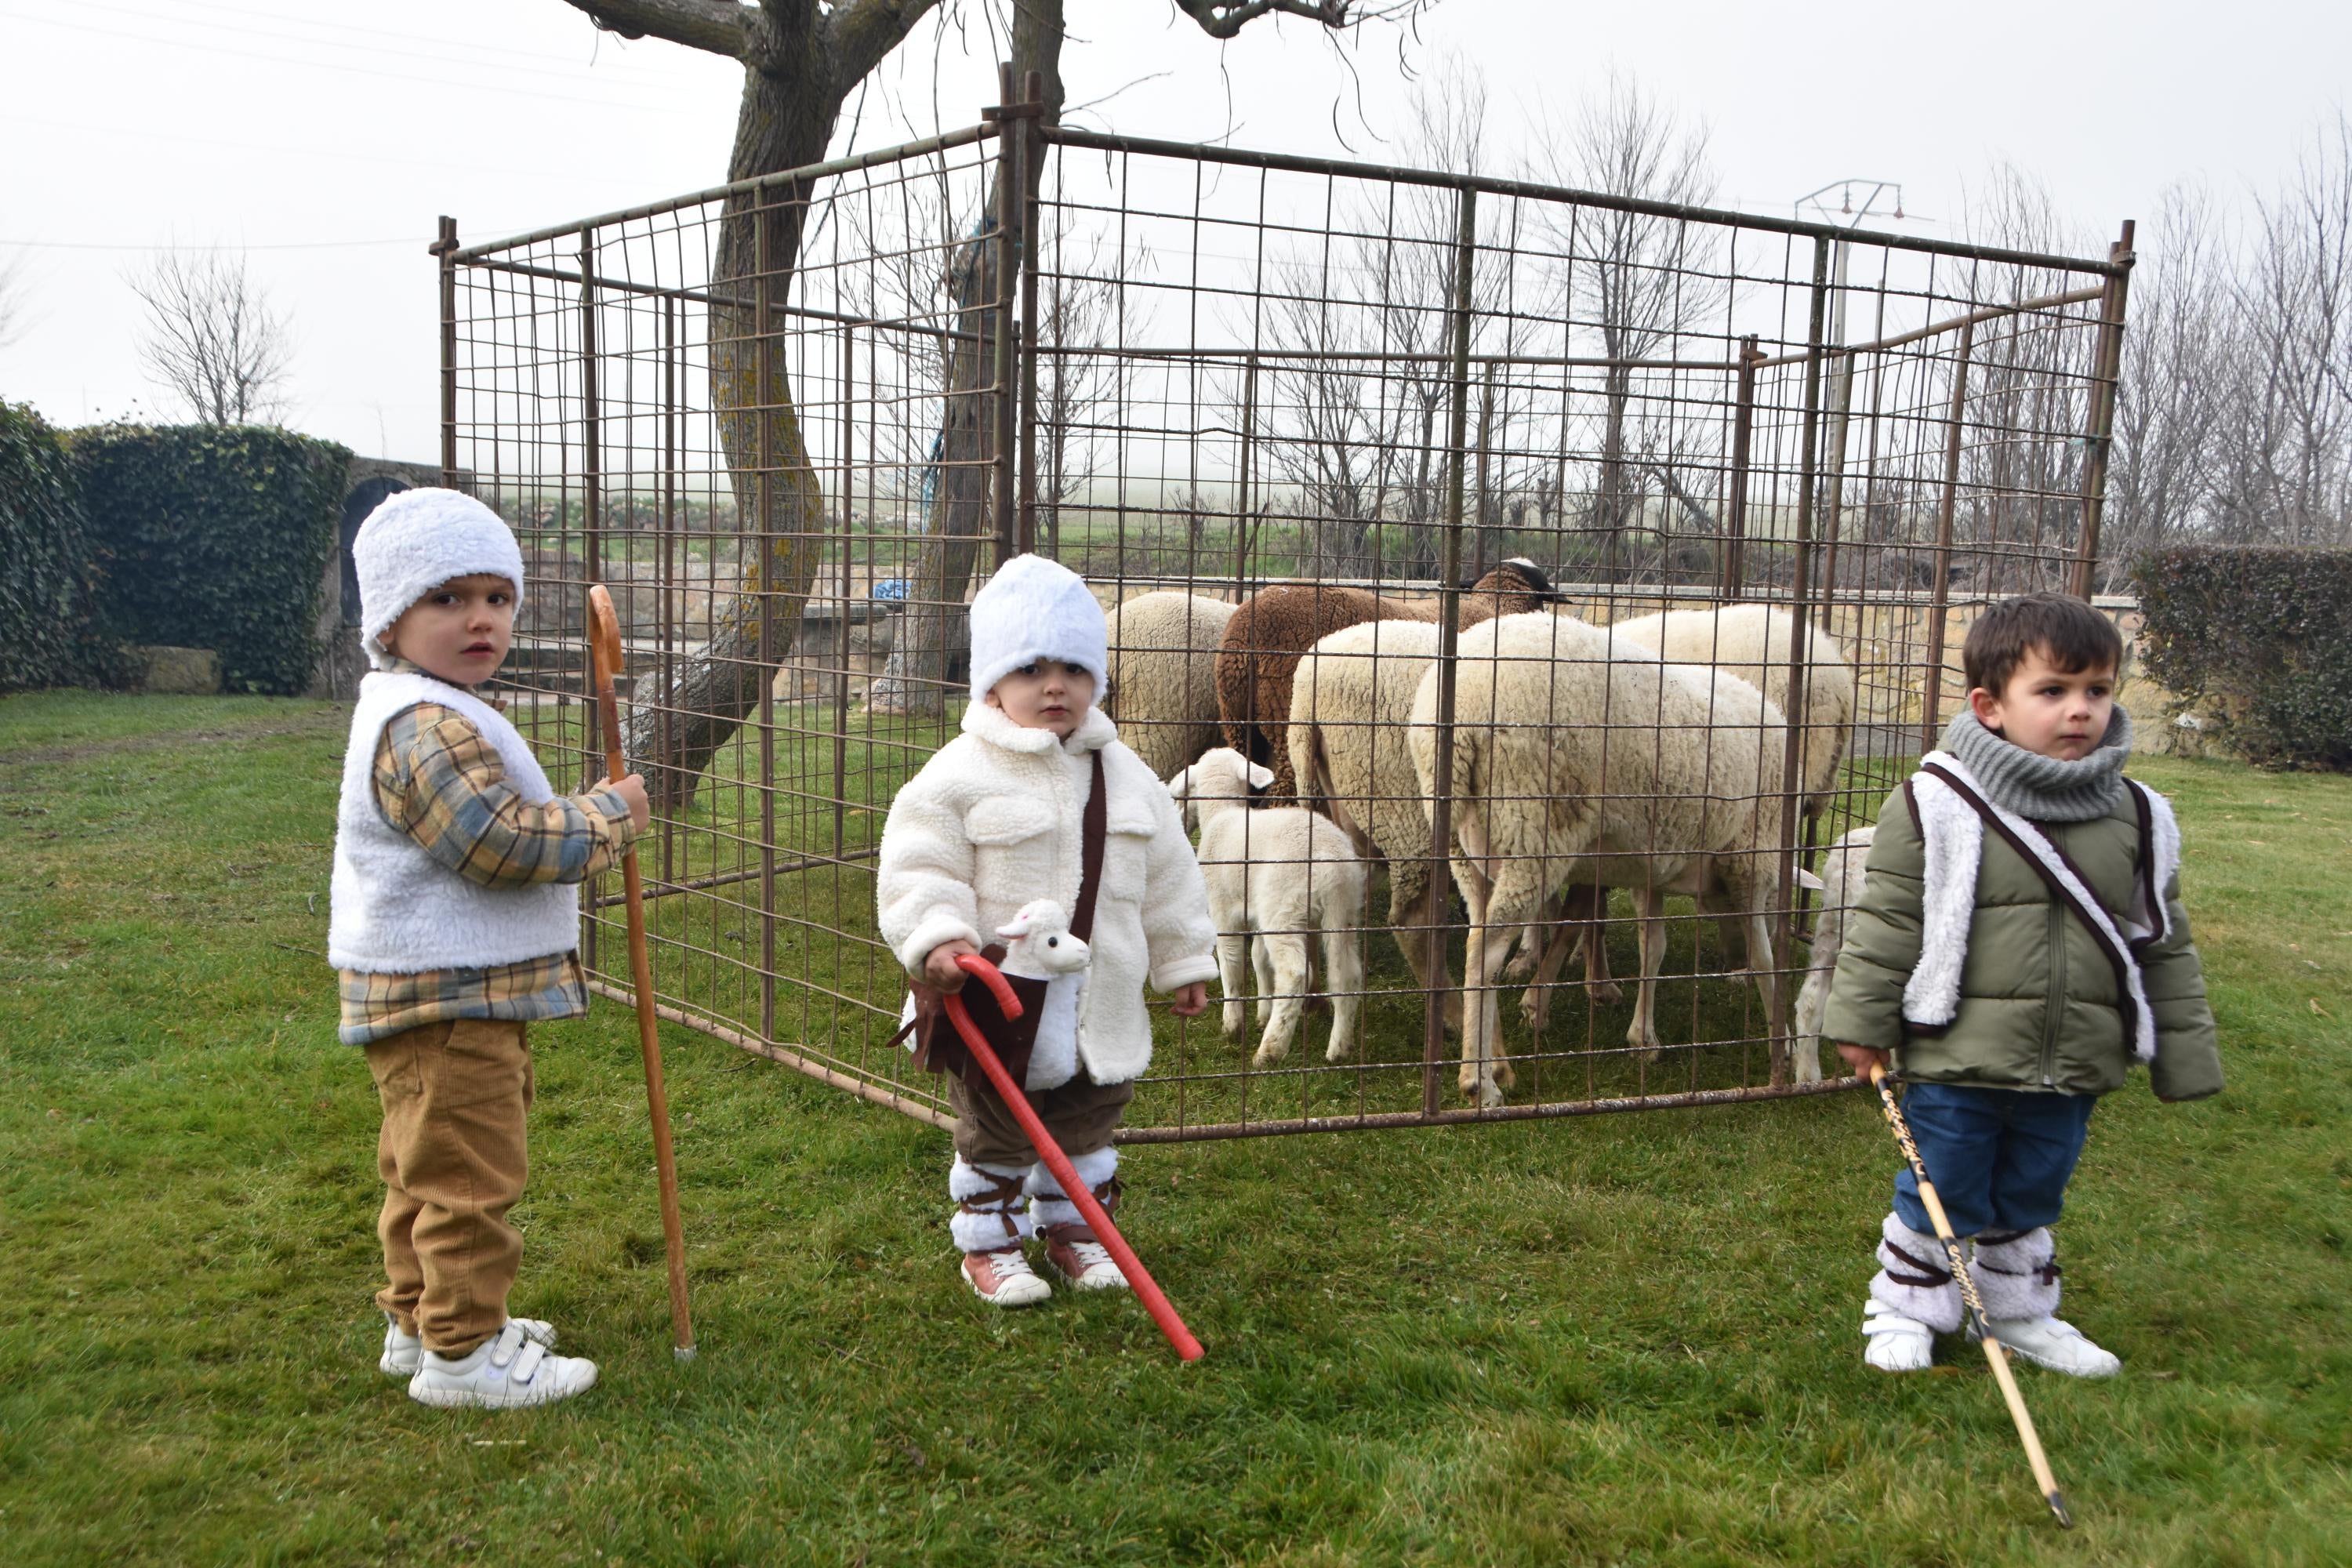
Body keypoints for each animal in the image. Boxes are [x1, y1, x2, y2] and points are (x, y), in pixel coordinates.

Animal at [1167, 747, 1374, 1067]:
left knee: (1294, 973)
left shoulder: (1223, 909)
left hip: (1283, 905)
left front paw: (1233, 1024)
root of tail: (1328, 859)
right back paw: (1339, 1048)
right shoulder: (1256, 911)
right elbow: (1259, 957)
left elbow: (1232, 963)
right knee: (1346, 973)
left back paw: (1271, 1049)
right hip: (1344, 908)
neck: (1222, 815)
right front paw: (1263, 1011)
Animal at [1411, 611, 1797, 1114]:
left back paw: (1491, 1065)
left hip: (1468, 847)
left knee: (1480, 937)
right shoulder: (1752, 856)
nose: (1730, 967)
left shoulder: (1653, 868)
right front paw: (1783, 1043)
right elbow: (1767, 958)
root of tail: (1460, 711)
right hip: (1534, 829)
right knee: (1483, 956)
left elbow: (1654, 947)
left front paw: (1643, 1037)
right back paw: (1480, 1084)